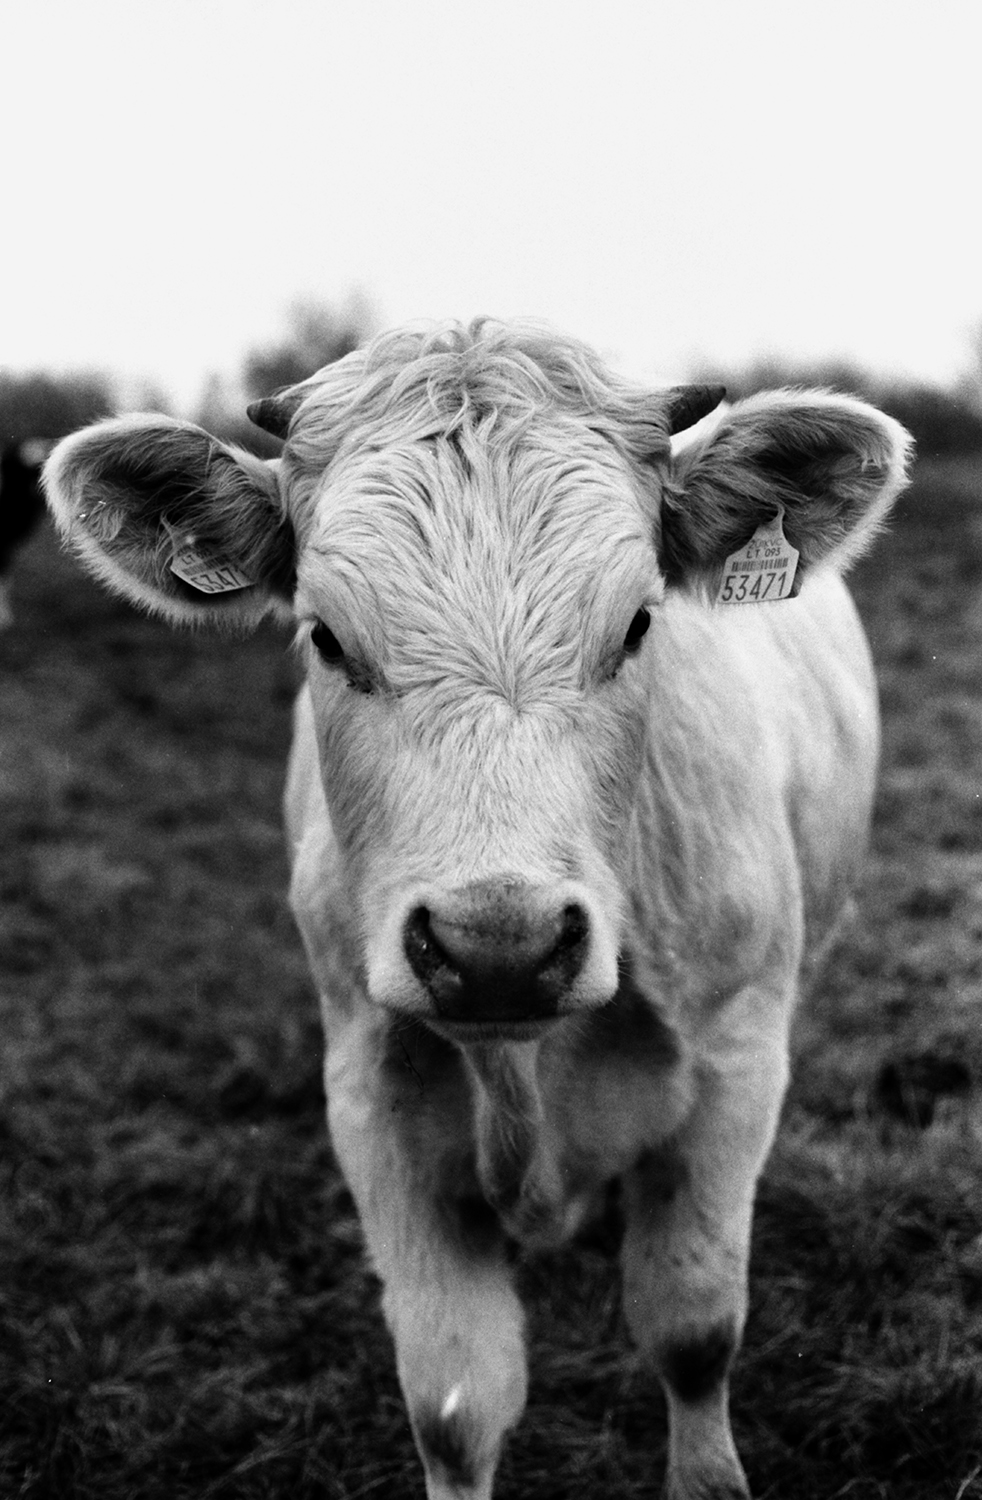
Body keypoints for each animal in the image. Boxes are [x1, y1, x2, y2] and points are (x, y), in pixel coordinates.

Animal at [43, 320, 911, 1500]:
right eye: (326, 639)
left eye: (638, 623)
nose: (500, 946)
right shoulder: (372, 1095)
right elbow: (453, 1402)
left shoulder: (737, 1068)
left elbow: (693, 1333)